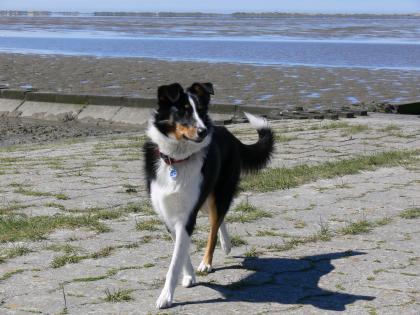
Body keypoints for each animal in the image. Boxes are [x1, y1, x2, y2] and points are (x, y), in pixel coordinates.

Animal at [144, 82, 276, 310]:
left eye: (200, 110)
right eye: (183, 111)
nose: (203, 131)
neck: (177, 161)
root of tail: (231, 135)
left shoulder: (187, 216)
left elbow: (175, 261)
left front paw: (166, 297)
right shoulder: (168, 215)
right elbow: (181, 251)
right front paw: (188, 276)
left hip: (219, 193)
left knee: (215, 225)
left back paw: (207, 261)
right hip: (206, 198)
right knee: (219, 219)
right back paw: (226, 244)